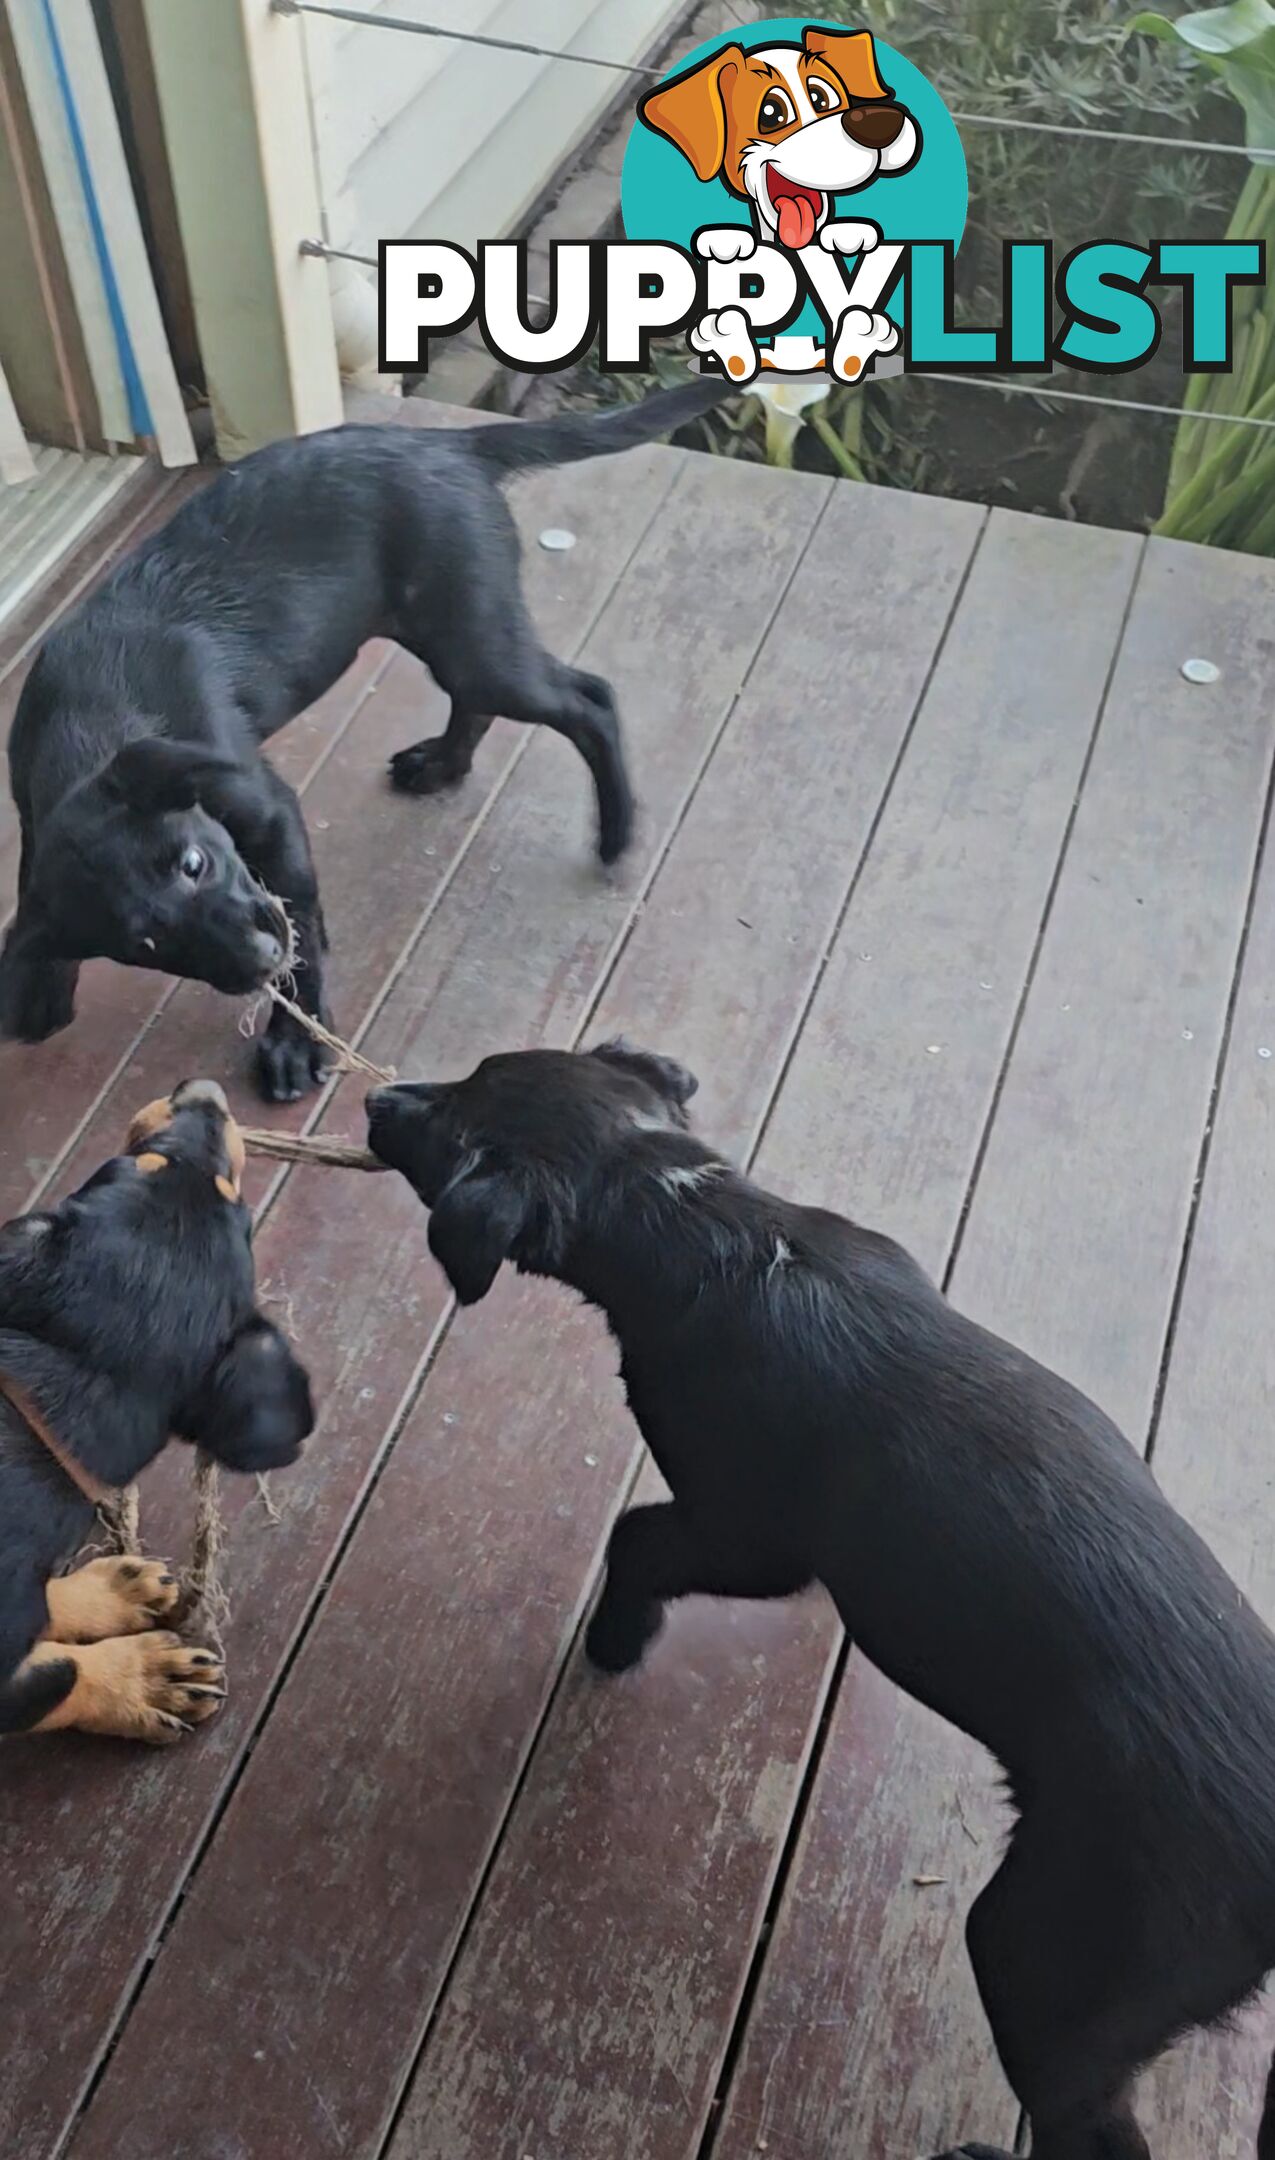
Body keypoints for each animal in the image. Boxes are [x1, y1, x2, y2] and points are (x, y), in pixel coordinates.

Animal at [1, 1071, 315, 1745]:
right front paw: (147, 1682)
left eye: (231, 1197)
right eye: (140, 1164)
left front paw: (107, 1595)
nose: (205, 1094)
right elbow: (59, 1676)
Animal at [2, 373, 730, 1105]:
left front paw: (296, 1040)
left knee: (590, 699)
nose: (259, 959)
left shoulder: (269, 811)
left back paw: (614, 833)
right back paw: (442, 767)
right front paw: (39, 988)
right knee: (485, 702)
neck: (89, 719)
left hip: (476, 639)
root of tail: (451, 445)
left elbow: (304, 926)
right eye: (147, 945)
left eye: (193, 863)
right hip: (443, 628)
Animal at [367, 1036, 1275, 2151]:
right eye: (477, 1068)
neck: (695, 1212)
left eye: (449, 1136)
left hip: (1050, 1956)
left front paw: (618, 1639)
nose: (376, 1098)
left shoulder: (748, 1533)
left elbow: (637, 1539)